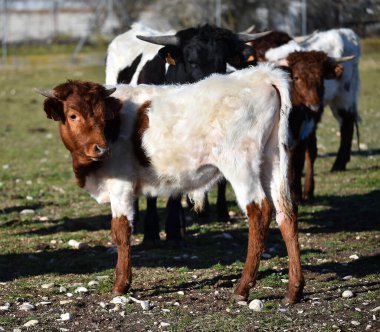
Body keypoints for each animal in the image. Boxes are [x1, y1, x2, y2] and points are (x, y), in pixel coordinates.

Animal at [37, 64, 306, 304]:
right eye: (73, 115)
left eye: (104, 117)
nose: (101, 149)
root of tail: (262, 74)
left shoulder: (121, 186)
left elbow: (121, 231)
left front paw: (121, 285)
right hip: (274, 159)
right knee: (286, 213)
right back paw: (294, 291)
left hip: (240, 164)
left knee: (259, 211)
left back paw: (243, 288)